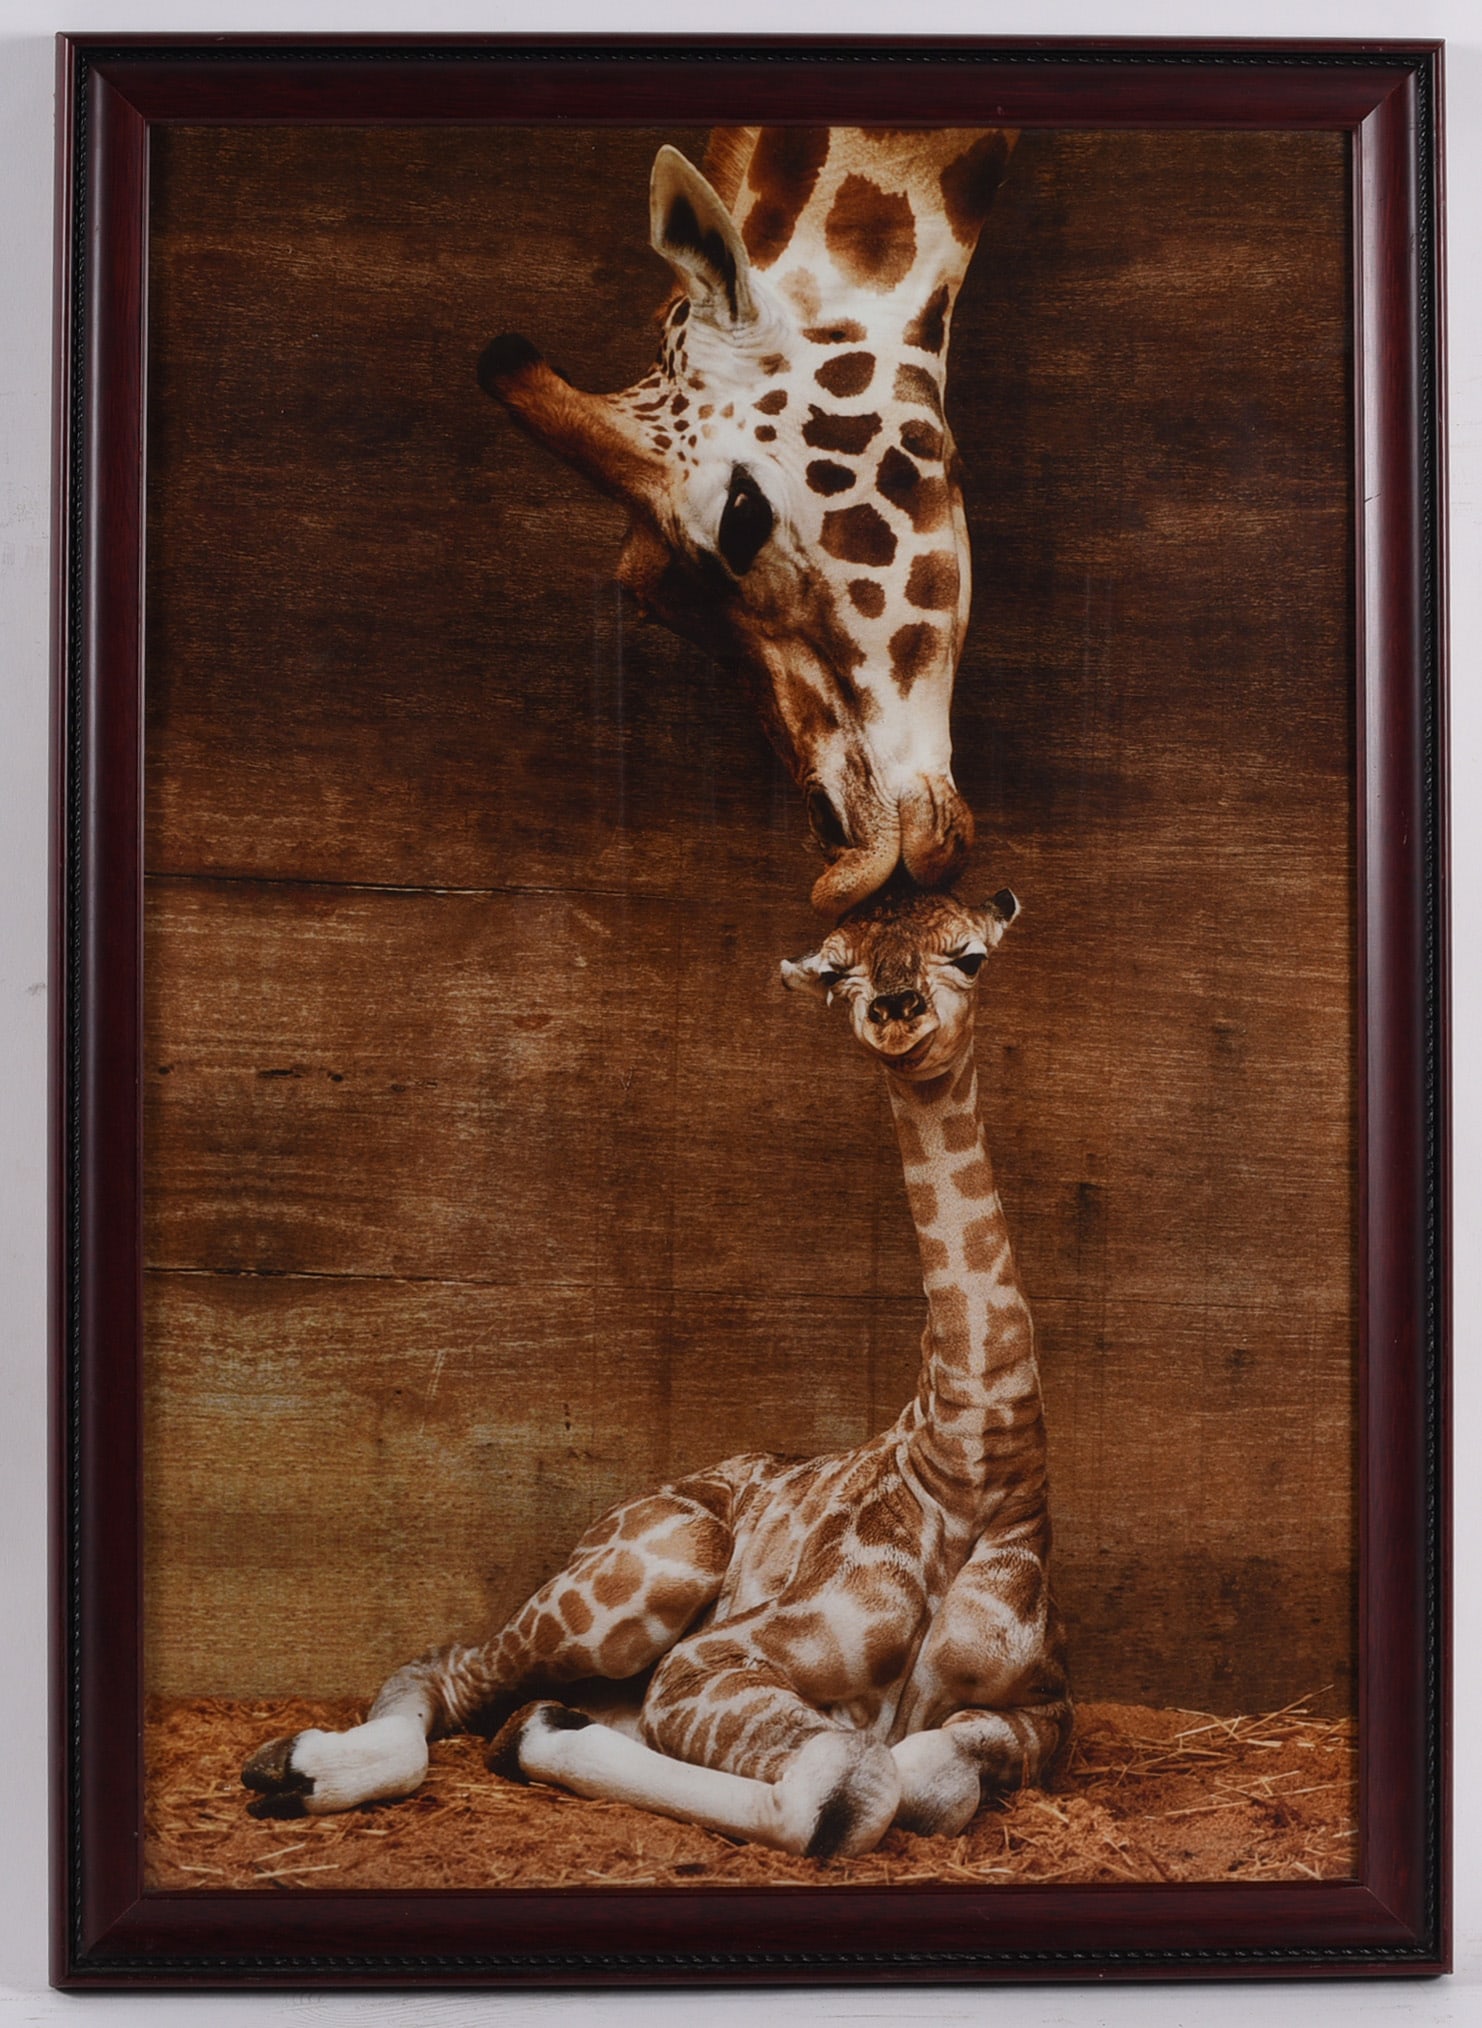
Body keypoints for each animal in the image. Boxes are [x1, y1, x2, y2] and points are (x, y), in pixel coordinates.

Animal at [242, 884, 1070, 1858]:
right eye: (837, 973)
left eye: (968, 955)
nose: (895, 1011)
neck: (973, 1465)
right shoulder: (708, 1660)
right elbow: (856, 1781)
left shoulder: (1047, 1712)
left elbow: (932, 1775)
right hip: (657, 1567)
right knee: (450, 1667)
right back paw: (298, 1768)